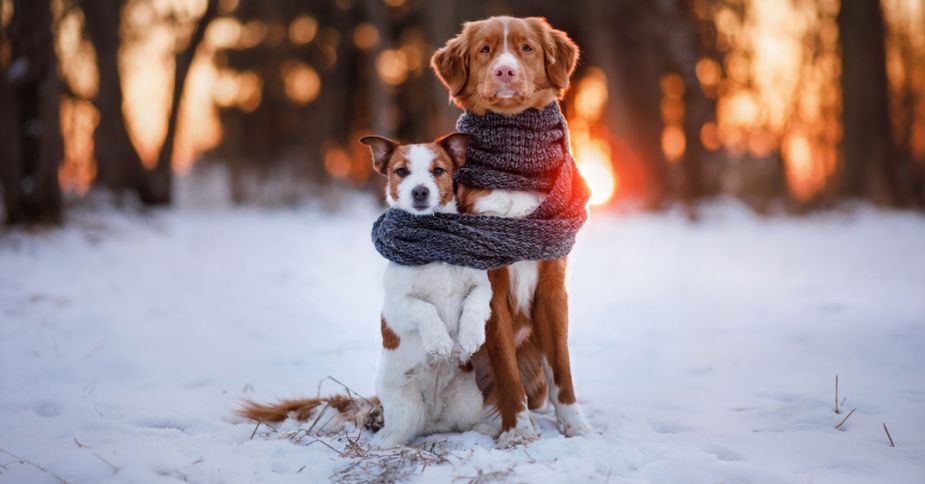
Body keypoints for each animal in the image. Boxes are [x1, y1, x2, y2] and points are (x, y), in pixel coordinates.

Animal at [360, 131, 490, 446]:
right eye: (401, 171)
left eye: (438, 170)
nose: (420, 191)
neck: (435, 247)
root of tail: (432, 417)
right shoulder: (397, 307)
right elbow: (426, 308)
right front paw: (440, 342)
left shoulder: (482, 287)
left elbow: (474, 304)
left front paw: (470, 337)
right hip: (406, 410)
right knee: (394, 436)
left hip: (469, 402)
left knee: (465, 424)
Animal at [430, 16, 588, 446]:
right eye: (485, 50)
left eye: (526, 48)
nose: (505, 71)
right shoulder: (491, 285)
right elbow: (504, 364)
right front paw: (517, 430)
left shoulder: (553, 280)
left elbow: (562, 363)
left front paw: (575, 423)